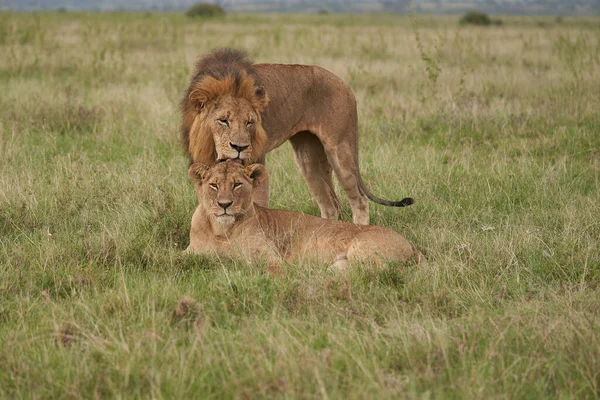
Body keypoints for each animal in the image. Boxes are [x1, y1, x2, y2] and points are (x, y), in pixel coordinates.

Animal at [178, 47, 412, 225]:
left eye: (250, 122)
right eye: (223, 121)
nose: (240, 147)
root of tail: (345, 85)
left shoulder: (256, 163)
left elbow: (256, 207)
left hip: (340, 149)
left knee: (360, 200)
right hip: (308, 157)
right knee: (330, 204)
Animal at [184, 161, 422, 270]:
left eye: (237, 185)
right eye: (214, 185)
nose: (224, 205)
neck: (221, 230)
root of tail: (411, 245)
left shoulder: (272, 258)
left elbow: (251, 264)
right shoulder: (190, 251)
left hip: (362, 249)